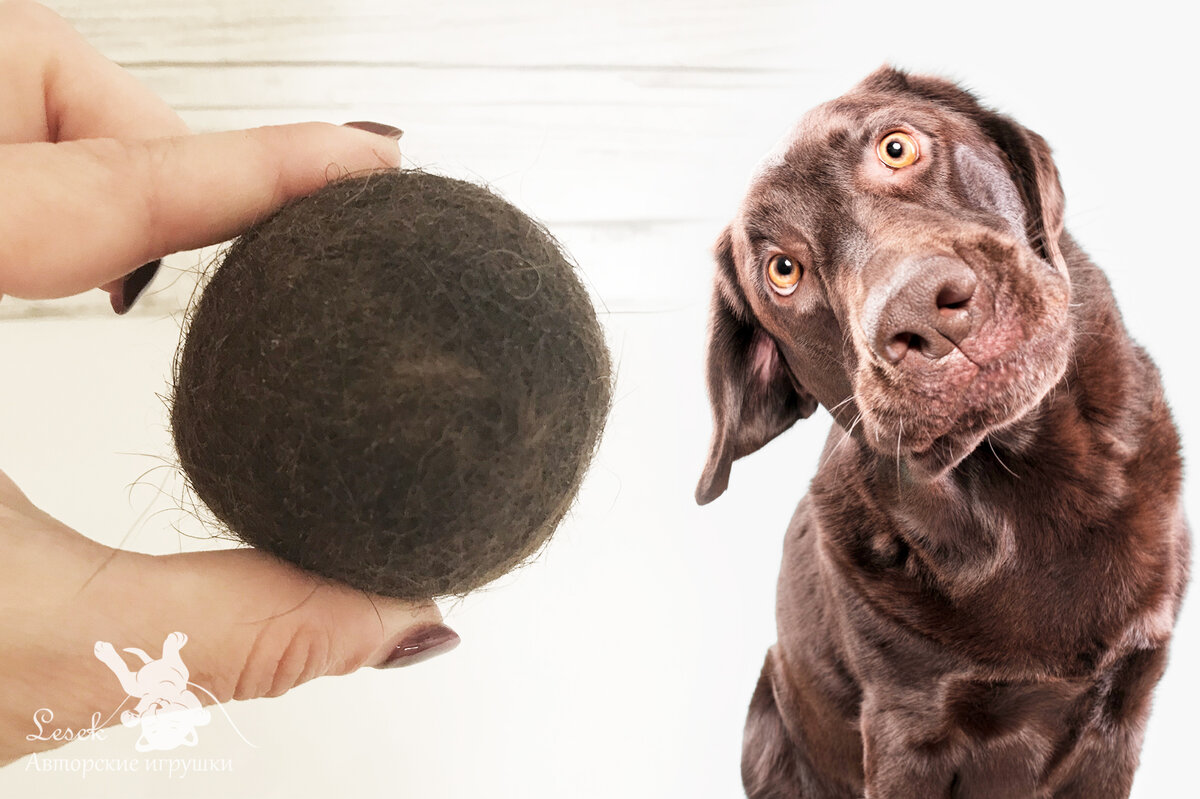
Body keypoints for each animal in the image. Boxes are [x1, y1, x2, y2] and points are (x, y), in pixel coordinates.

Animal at [696, 68, 1190, 796]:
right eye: (783, 271)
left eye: (896, 147)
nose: (922, 313)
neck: (1025, 487)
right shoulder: (906, 733)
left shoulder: (1124, 709)